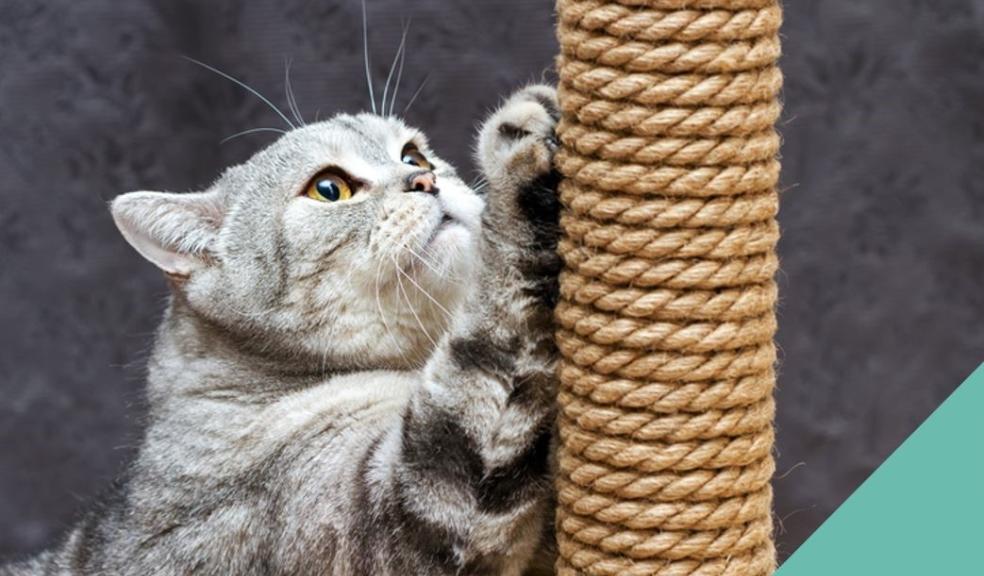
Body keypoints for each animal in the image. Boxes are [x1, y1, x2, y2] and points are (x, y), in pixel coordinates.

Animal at [1, 82, 560, 576]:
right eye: (329, 189)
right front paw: (520, 153)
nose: (427, 180)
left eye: (414, 156)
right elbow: (499, 311)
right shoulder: (407, 519)